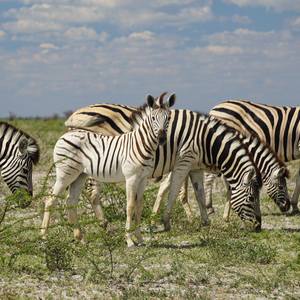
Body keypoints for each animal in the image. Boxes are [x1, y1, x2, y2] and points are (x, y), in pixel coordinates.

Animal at [41, 92, 175, 247]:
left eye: (168, 118)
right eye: (153, 118)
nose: (162, 138)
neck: (141, 144)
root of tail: (66, 134)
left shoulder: (143, 179)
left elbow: (139, 207)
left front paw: (140, 239)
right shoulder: (131, 178)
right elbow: (130, 206)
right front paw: (129, 240)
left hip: (80, 175)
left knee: (71, 201)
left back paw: (81, 238)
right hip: (66, 173)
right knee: (50, 200)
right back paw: (44, 237)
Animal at [65, 103, 262, 232]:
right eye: (252, 198)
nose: (258, 227)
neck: (205, 140)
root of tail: (74, 116)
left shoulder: (195, 167)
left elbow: (199, 193)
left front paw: (206, 222)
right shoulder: (184, 162)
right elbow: (173, 191)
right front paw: (166, 222)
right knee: (92, 193)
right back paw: (105, 225)